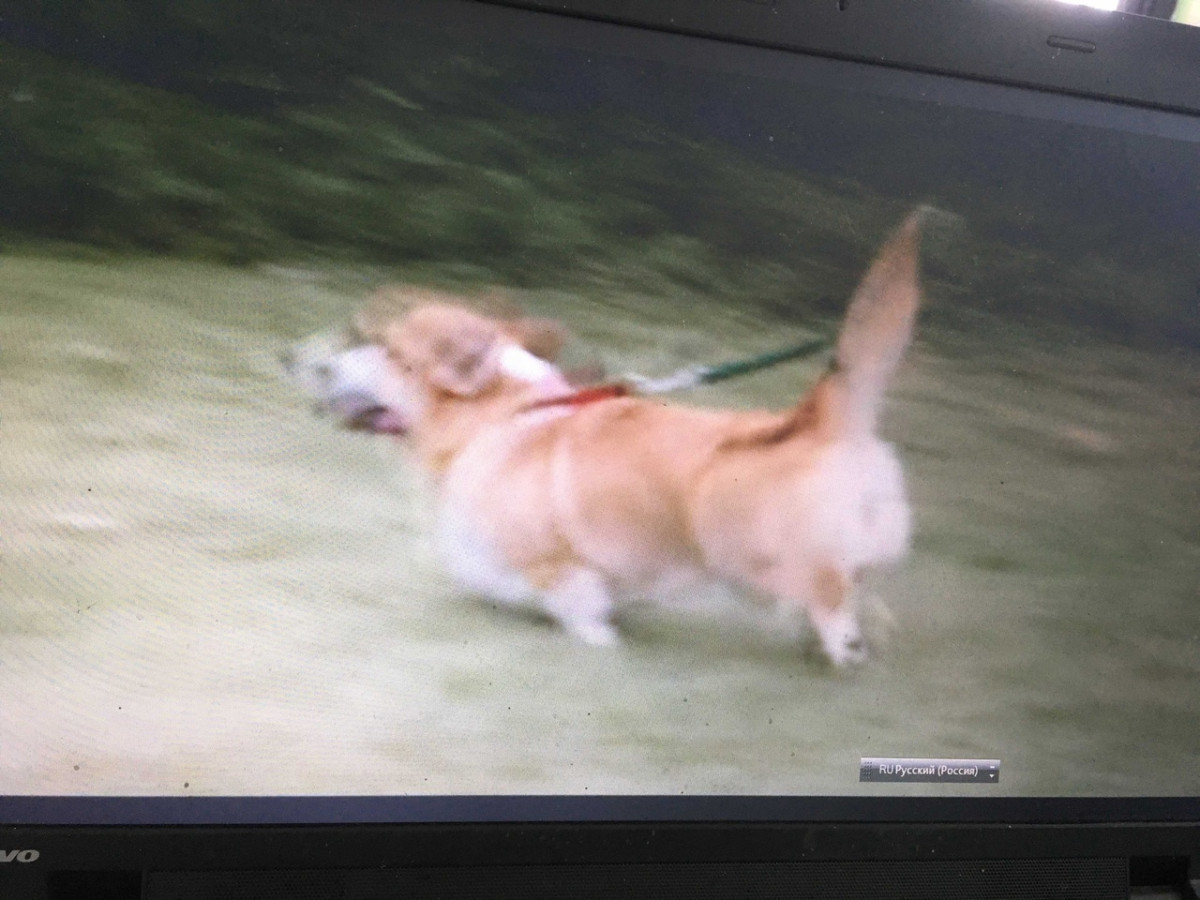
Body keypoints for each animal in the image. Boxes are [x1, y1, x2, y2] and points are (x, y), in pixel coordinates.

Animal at [286, 214, 922, 665]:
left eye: (379, 346)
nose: (299, 360)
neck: (503, 413)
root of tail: (827, 420)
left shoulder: (558, 565)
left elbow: (577, 607)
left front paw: (596, 643)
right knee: (866, 598)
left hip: (762, 558)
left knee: (831, 595)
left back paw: (841, 650)